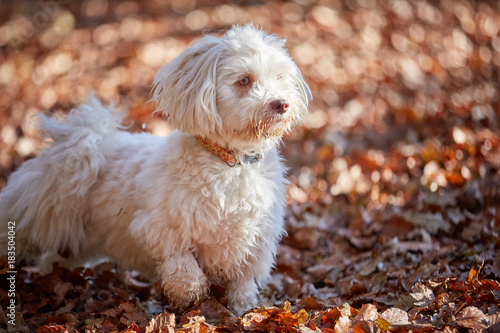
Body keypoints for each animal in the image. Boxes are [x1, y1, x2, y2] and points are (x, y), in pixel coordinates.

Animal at [0, 25, 310, 314]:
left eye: (280, 78)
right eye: (244, 80)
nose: (282, 104)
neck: (231, 162)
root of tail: (85, 138)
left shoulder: (254, 243)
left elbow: (243, 283)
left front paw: (243, 311)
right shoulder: (160, 228)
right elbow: (183, 267)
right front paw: (191, 297)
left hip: (78, 240)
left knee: (53, 259)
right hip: (31, 220)